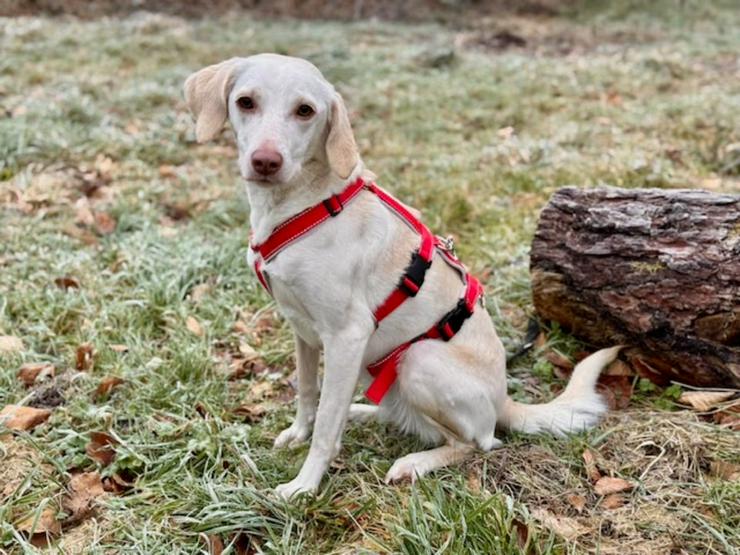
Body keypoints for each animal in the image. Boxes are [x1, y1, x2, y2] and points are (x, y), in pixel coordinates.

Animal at [184, 54, 620, 502]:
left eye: (305, 111)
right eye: (246, 102)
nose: (266, 161)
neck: (303, 205)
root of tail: (503, 400)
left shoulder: (347, 336)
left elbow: (325, 428)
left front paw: (304, 486)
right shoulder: (302, 330)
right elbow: (308, 394)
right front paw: (298, 433)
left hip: (418, 359)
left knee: (474, 442)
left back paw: (413, 463)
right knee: (393, 416)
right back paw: (361, 412)